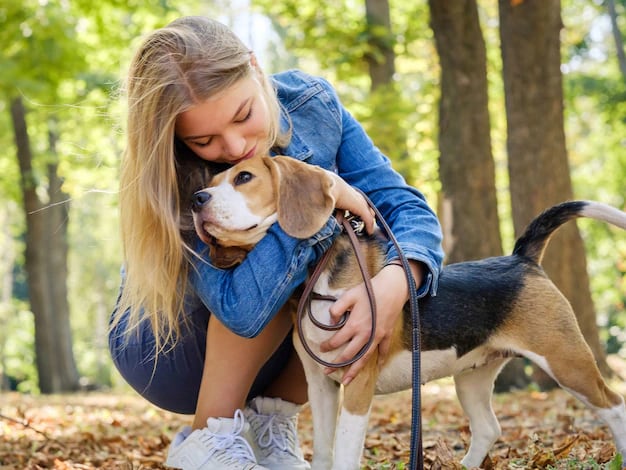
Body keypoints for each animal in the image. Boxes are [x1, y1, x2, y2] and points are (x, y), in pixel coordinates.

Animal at [185, 155, 624, 470]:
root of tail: (521, 259)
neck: (317, 274)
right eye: (215, 180)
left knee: (614, 404)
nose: (196, 200)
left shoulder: (357, 385)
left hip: (566, 361)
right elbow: (325, 453)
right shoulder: (321, 385)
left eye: (244, 177)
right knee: (488, 428)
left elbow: (344, 456)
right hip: (472, 377)